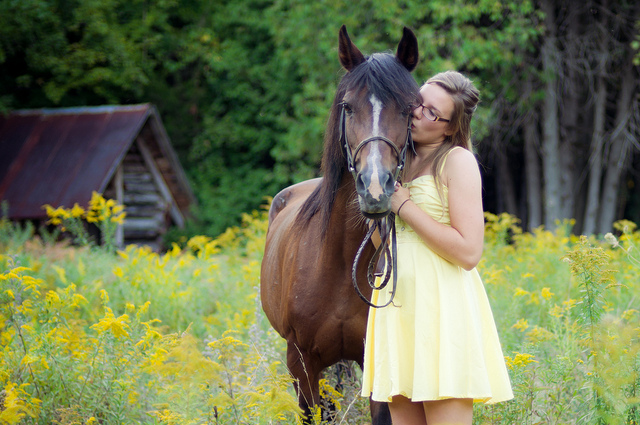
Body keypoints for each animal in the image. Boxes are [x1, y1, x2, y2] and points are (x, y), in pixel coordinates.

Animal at [260, 25, 420, 424]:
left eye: (411, 108)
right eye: (348, 106)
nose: (375, 188)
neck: (338, 258)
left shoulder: (376, 362)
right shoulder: (301, 364)